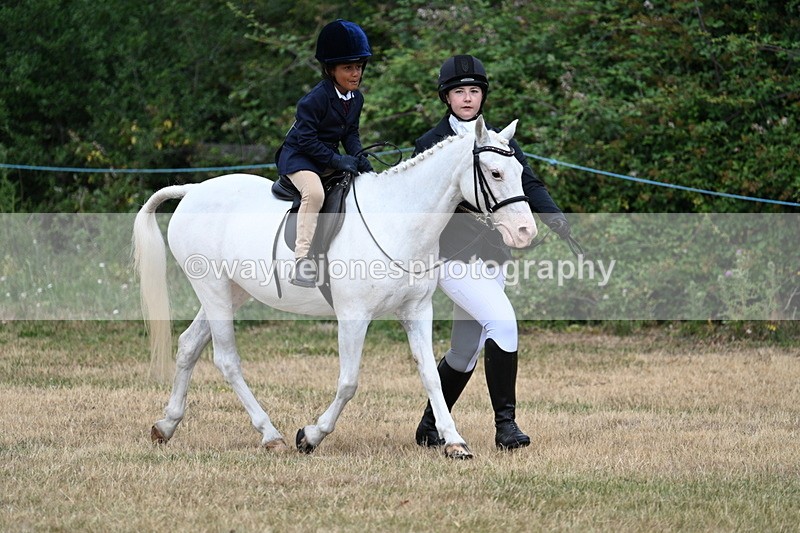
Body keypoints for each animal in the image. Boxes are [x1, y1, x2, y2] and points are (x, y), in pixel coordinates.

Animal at [133, 116, 537, 459]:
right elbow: (349, 382)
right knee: (226, 359)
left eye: (520, 171)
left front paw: (454, 442)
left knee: (189, 345)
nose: (525, 232)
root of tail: (193, 190)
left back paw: (165, 425)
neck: (396, 220)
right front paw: (311, 436)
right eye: (495, 172)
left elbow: (432, 377)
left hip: (232, 291)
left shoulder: (417, 311)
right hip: (213, 287)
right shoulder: (354, 316)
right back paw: (271, 435)